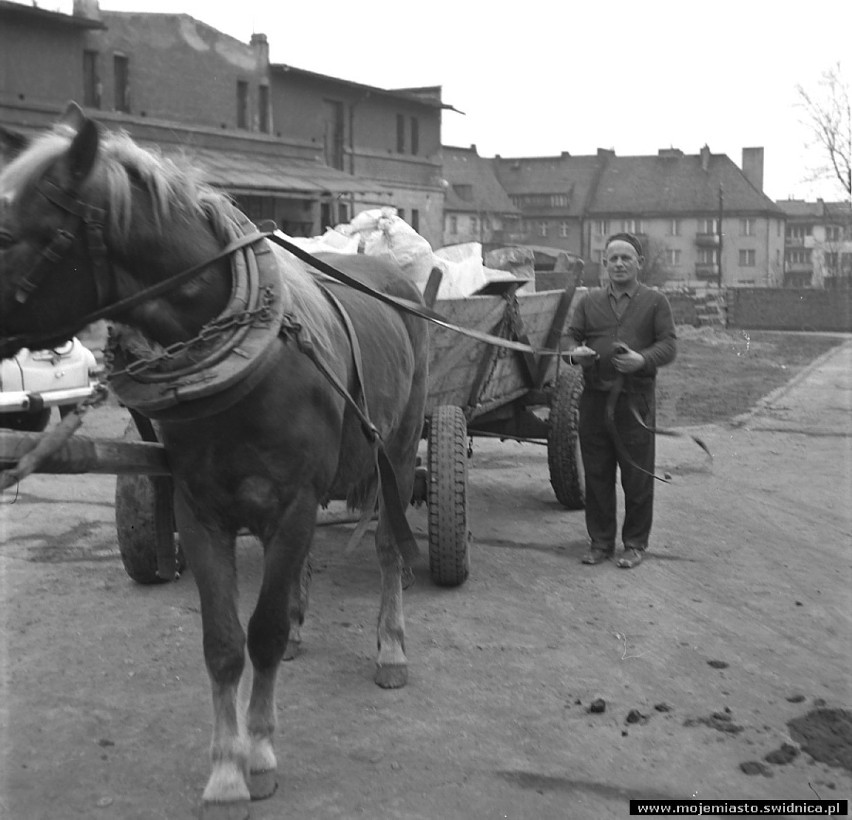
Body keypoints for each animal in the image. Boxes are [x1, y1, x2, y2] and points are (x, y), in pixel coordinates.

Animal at [0, 105, 426, 816]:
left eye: (10, 232)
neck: (255, 363)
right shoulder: (200, 509)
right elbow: (225, 643)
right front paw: (226, 770)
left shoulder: (294, 501)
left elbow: (263, 634)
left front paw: (259, 756)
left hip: (397, 447)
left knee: (390, 546)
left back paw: (391, 649)